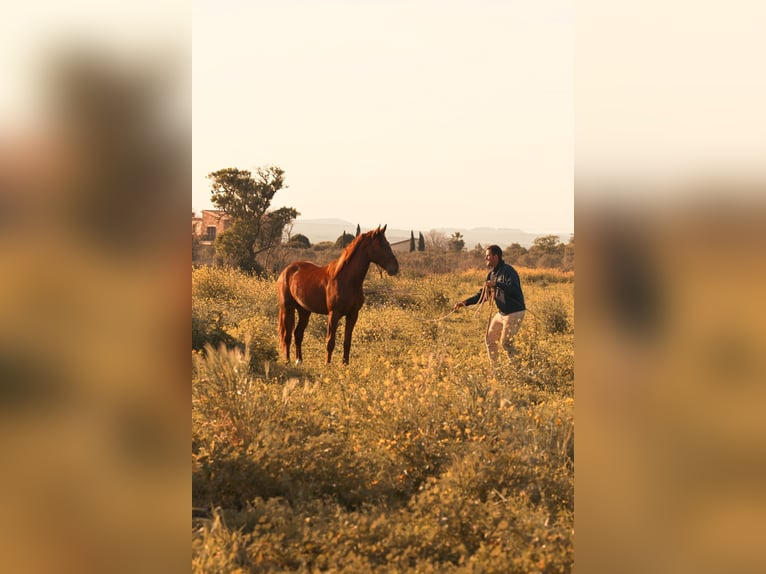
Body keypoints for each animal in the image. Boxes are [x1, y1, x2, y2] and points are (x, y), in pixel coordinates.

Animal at [277, 225, 400, 365]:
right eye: (381, 244)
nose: (395, 268)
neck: (347, 280)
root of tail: (286, 271)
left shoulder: (353, 315)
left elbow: (347, 342)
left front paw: (345, 365)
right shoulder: (333, 314)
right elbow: (330, 342)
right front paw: (328, 365)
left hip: (304, 311)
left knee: (298, 334)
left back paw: (299, 361)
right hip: (288, 308)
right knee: (287, 336)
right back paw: (287, 361)